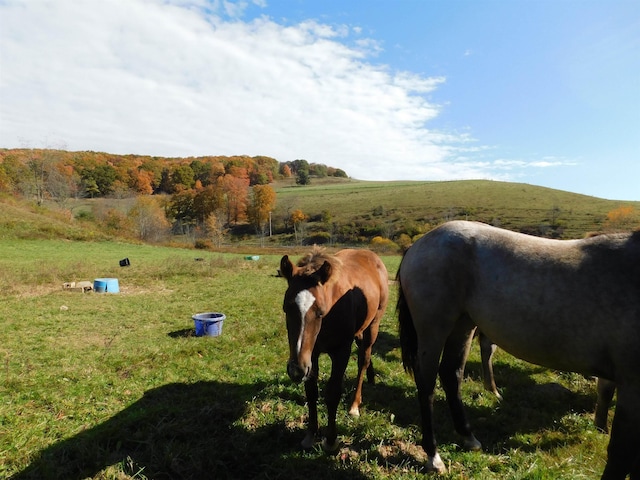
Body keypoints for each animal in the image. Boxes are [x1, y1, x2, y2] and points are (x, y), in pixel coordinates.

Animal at [280, 246, 390, 452]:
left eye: (320, 312)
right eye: (286, 308)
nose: (296, 370)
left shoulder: (341, 352)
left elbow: (332, 394)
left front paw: (331, 440)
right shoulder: (311, 354)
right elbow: (311, 391)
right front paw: (310, 435)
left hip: (373, 326)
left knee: (363, 360)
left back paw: (354, 405)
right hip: (359, 331)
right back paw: (371, 378)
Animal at [398, 220, 636, 476]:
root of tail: (420, 243)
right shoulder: (630, 385)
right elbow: (620, 454)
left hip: (463, 326)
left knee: (451, 375)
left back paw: (468, 437)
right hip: (433, 331)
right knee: (427, 385)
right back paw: (433, 456)